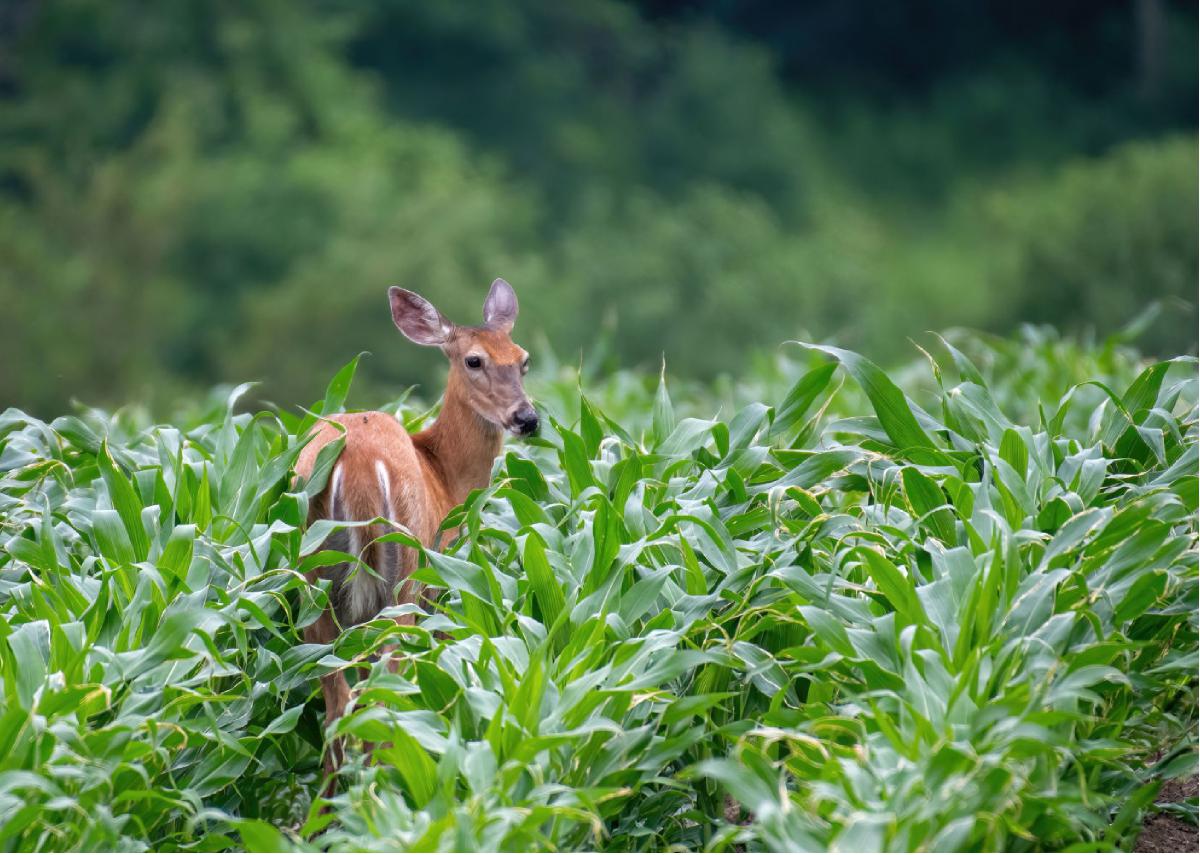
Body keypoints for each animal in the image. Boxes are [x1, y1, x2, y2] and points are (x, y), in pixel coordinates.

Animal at [292, 278, 537, 773]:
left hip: (316, 582)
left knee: (338, 704)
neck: (446, 478)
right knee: (378, 700)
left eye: (523, 359)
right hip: (404, 572)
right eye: (474, 360)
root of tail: (357, 464)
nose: (527, 419)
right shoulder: (444, 584)